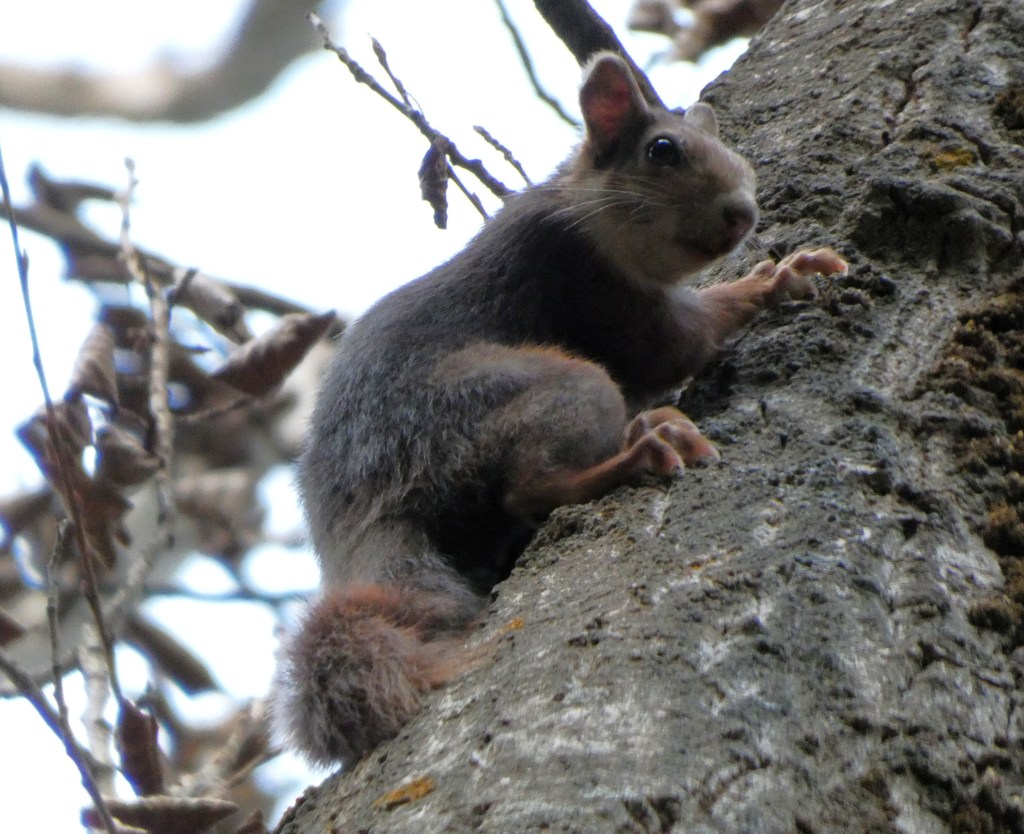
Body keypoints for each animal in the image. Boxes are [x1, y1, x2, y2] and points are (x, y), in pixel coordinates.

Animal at [271, 52, 848, 767]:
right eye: (662, 150)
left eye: (741, 158)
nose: (742, 215)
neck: (588, 207)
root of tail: (360, 524)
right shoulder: (581, 274)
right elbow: (676, 344)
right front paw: (776, 278)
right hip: (519, 395)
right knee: (529, 486)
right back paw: (640, 449)